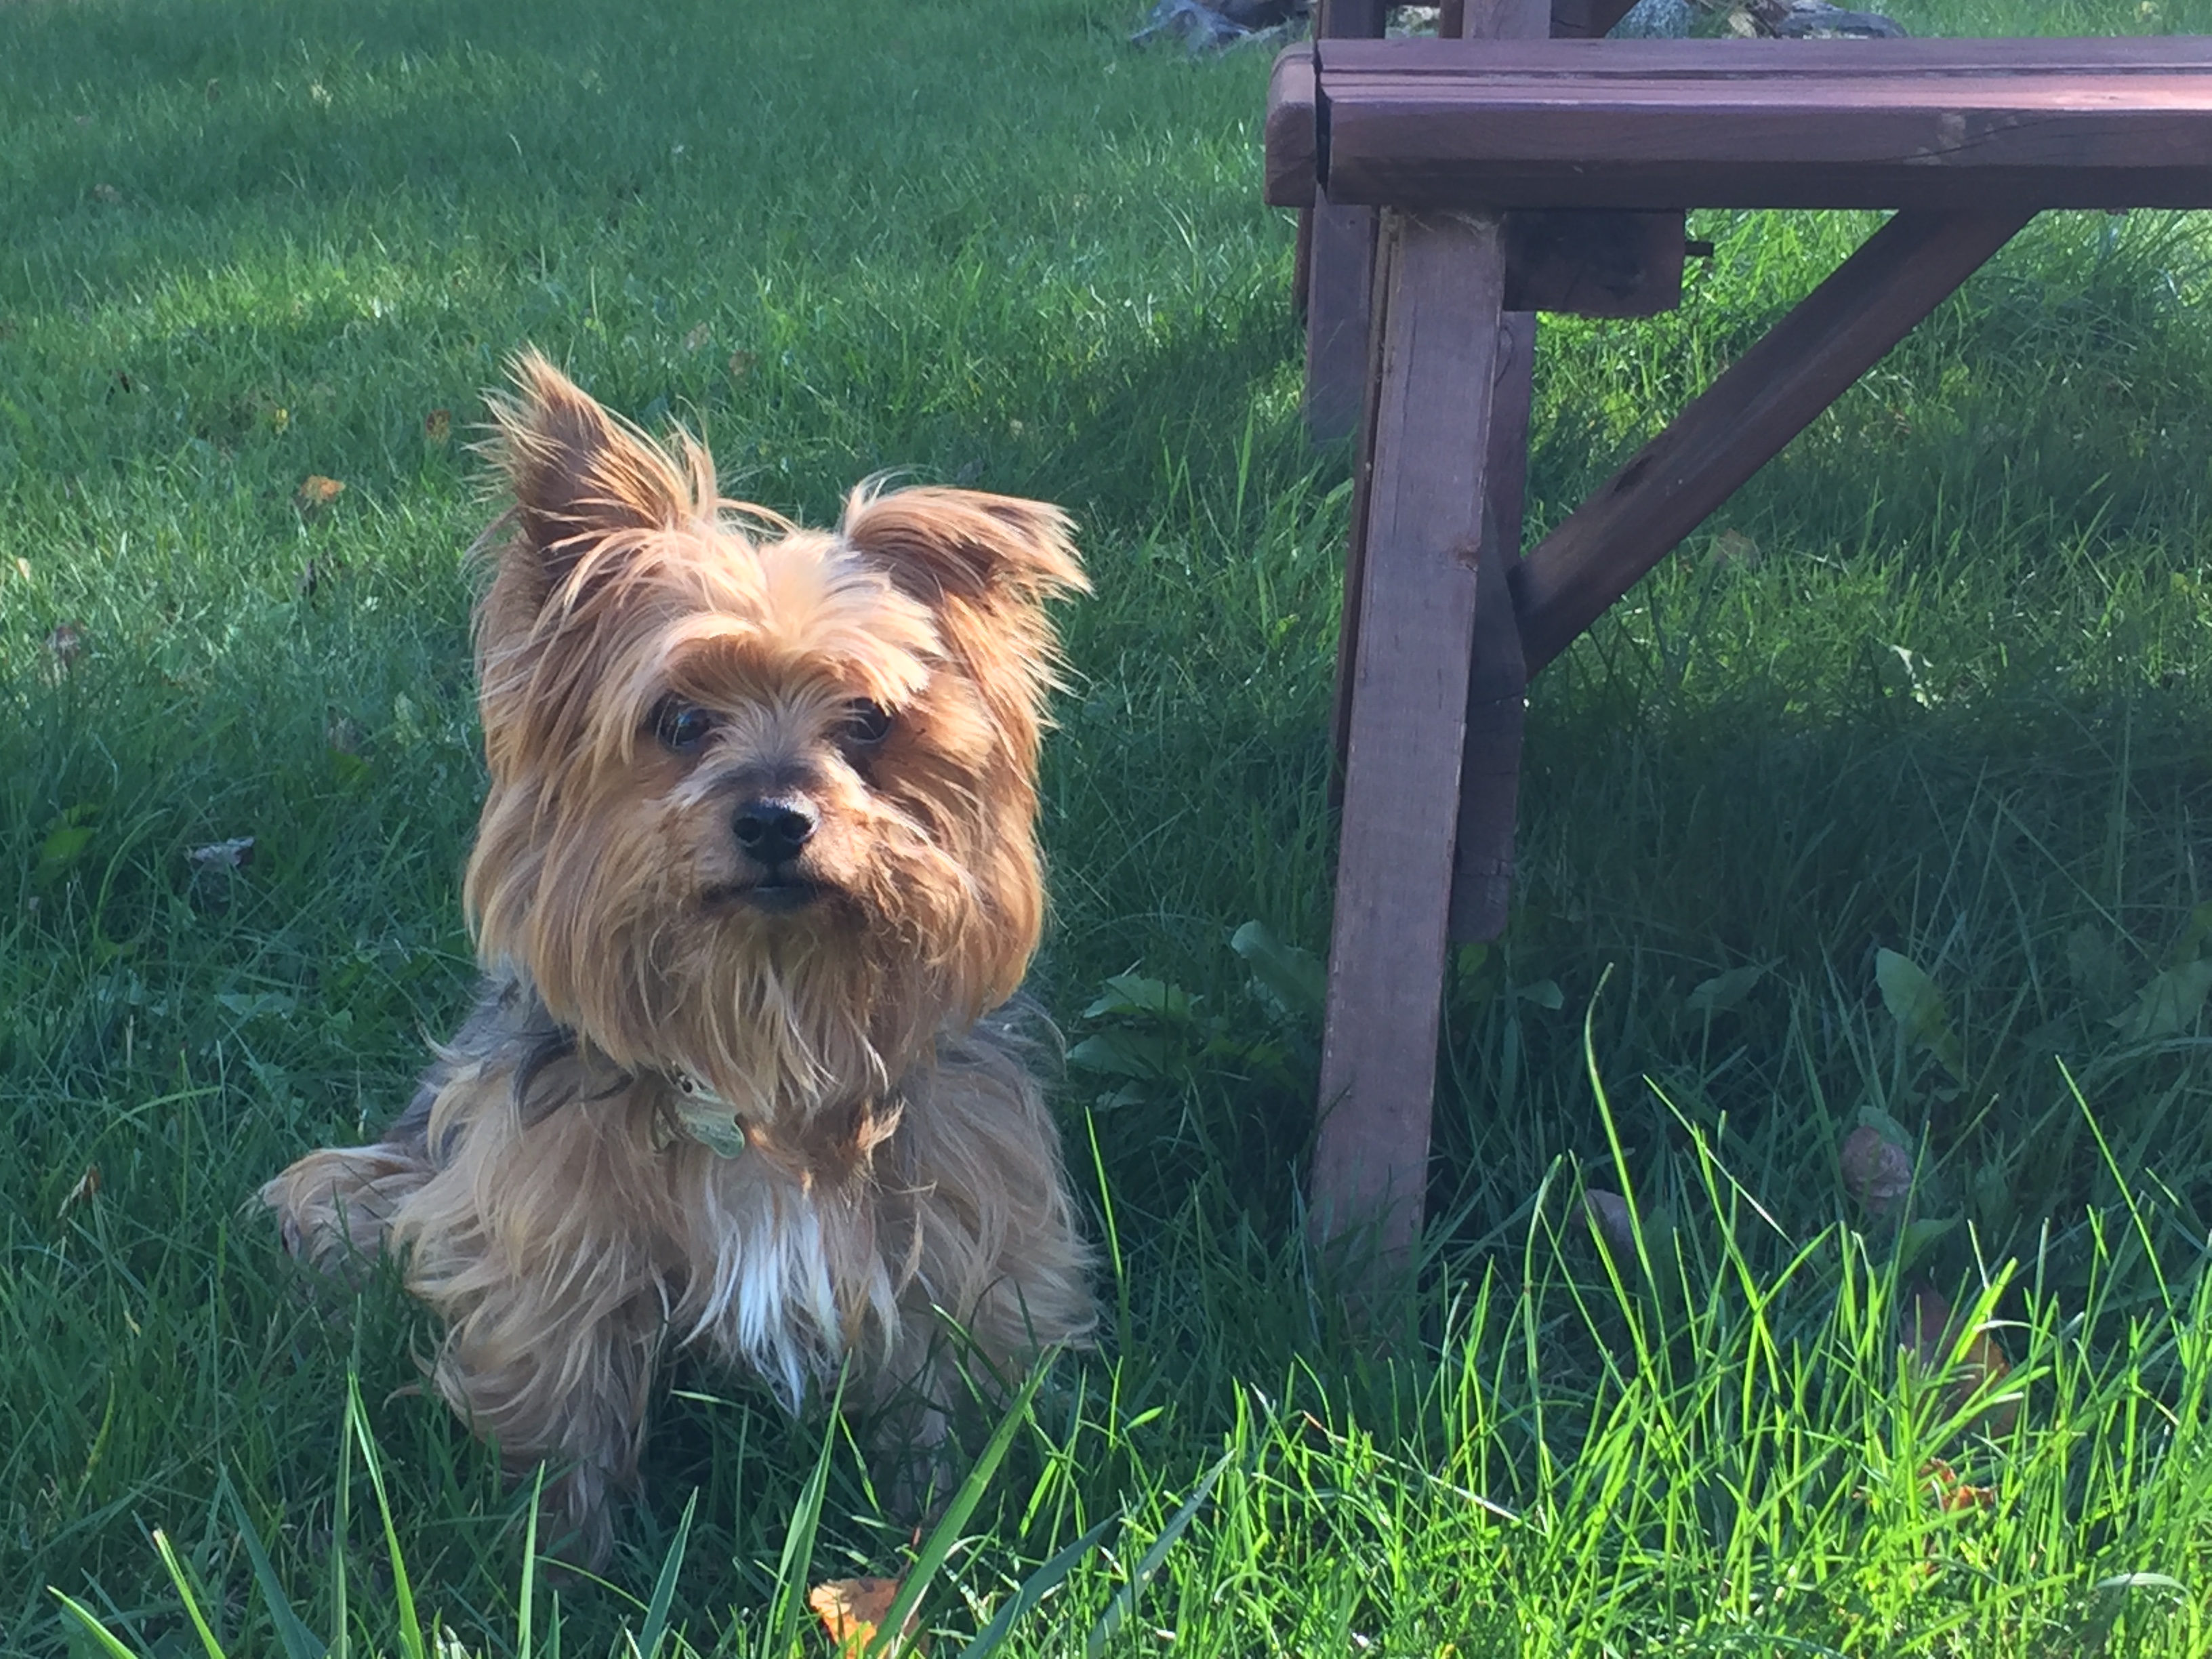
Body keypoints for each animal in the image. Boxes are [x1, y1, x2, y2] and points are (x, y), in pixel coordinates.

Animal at [263, 353, 1095, 1565]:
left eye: (868, 722)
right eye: (680, 722)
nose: (775, 819)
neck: (765, 1017)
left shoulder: (958, 1226)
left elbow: (939, 1401)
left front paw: (931, 1532)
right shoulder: (552, 1235)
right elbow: (562, 1411)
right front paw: (561, 1570)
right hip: (363, 1191)